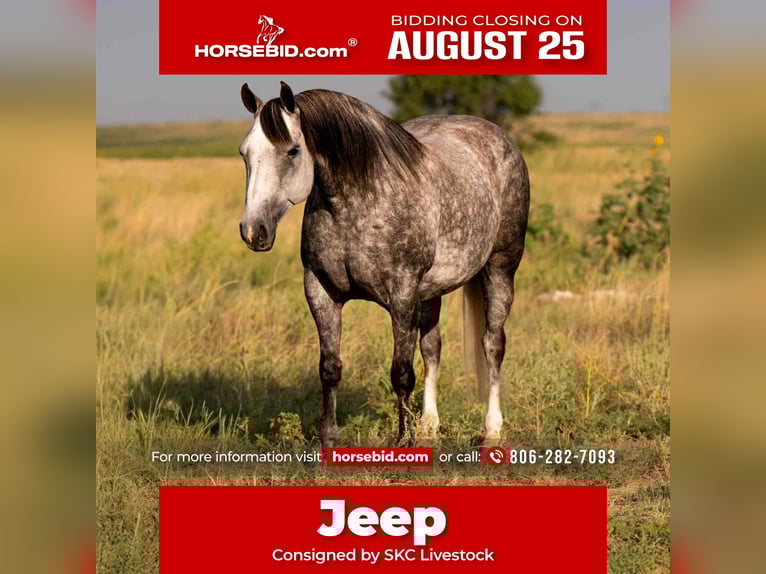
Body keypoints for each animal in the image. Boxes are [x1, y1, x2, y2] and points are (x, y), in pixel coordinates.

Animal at [238, 82, 530, 447]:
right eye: (244, 153)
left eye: (292, 151)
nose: (253, 231)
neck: (355, 204)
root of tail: (500, 137)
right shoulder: (320, 292)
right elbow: (330, 368)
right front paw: (329, 439)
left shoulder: (401, 297)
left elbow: (401, 372)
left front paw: (402, 442)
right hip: (430, 291)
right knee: (432, 348)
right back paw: (428, 426)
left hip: (500, 269)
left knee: (492, 345)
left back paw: (491, 430)